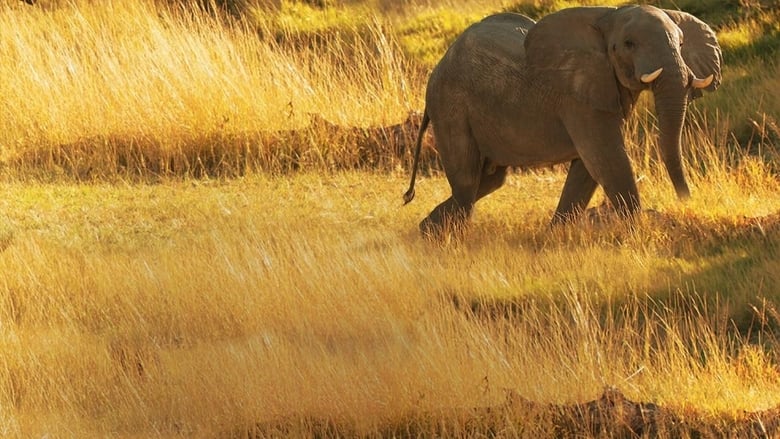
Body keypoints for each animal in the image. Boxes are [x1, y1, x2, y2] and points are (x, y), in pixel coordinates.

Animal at [403, 5, 721, 236]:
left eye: (682, 43)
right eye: (628, 44)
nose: (686, 201)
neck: (607, 17)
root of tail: (439, 65)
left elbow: (588, 168)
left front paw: (554, 236)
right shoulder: (578, 96)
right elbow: (607, 158)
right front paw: (637, 232)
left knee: (489, 180)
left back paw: (428, 230)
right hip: (450, 105)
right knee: (468, 182)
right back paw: (444, 237)